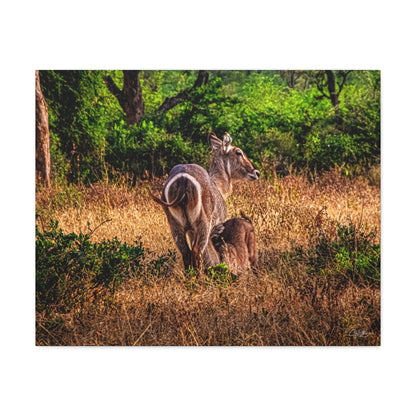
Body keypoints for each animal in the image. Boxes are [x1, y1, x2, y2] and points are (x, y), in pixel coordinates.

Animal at [151, 132, 258, 272]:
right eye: (239, 152)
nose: (256, 172)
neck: (218, 186)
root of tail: (183, 178)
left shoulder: (191, 231)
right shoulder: (216, 224)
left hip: (175, 225)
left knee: (186, 254)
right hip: (203, 223)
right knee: (197, 252)